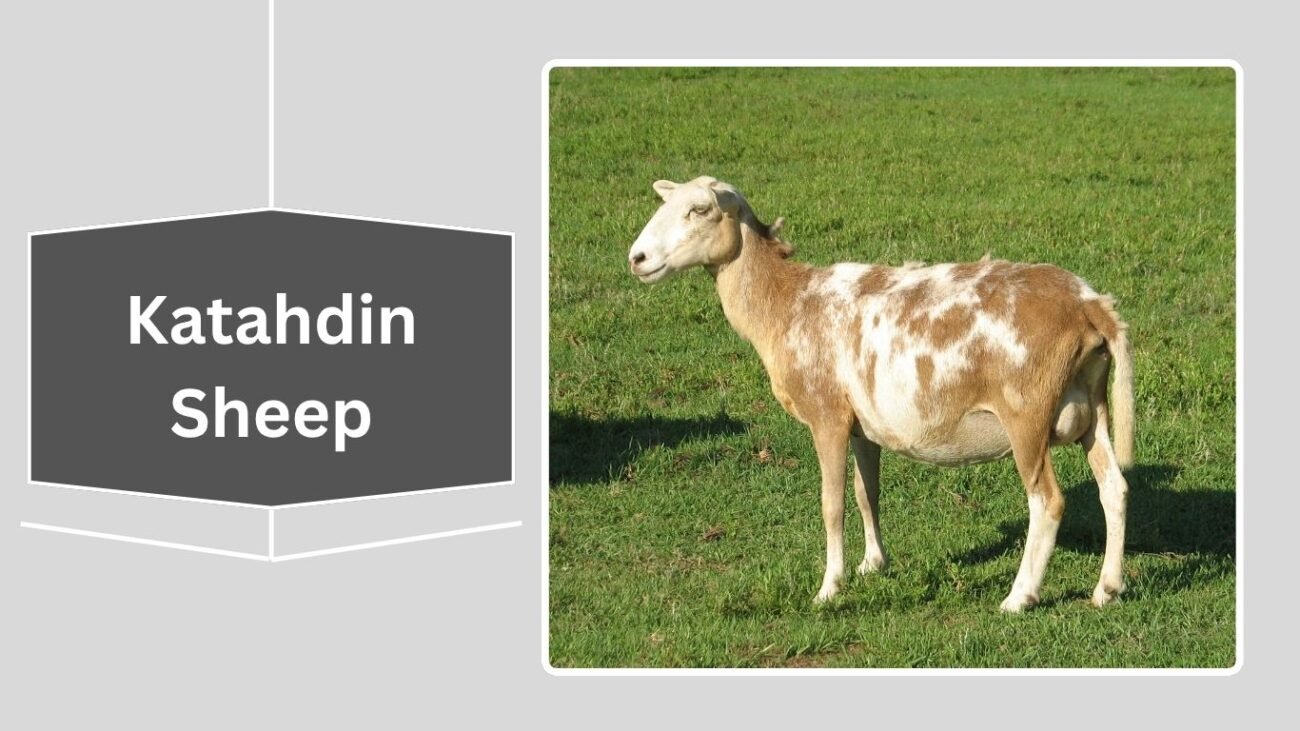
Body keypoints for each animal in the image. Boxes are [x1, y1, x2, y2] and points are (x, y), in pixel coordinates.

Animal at [627, 176, 1134, 612]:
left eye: (700, 209)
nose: (638, 258)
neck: (783, 304)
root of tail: (1090, 306)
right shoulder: (862, 425)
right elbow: (865, 492)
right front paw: (873, 564)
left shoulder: (827, 415)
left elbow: (831, 504)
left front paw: (829, 588)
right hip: (1093, 406)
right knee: (1114, 487)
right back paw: (1107, 589)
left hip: (1026, 415)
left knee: (1047, 502)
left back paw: (1019, 597)